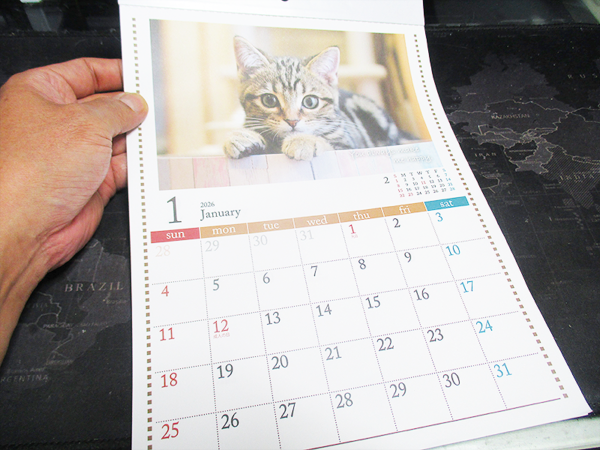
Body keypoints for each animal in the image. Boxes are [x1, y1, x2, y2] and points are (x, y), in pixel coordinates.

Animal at [223, 36, 413, 161]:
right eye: (269, 100)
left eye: (310, 102)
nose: (292, 121)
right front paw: (240, 137)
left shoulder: (350, 144)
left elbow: (331, 145)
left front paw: (303, 141)